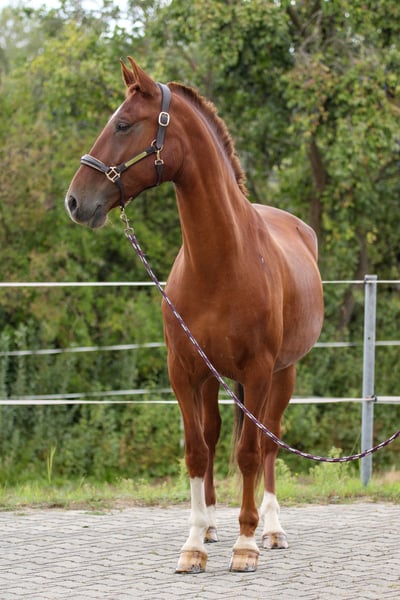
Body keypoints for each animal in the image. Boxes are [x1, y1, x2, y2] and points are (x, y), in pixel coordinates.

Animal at [65, 58, 324, 573]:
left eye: (123, 124)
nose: (75, 201)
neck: (222, 261)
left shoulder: (258, 371)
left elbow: (248, 453)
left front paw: (245, 545)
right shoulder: (184, 371)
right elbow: (196, 450)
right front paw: (194, 543)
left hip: (283, 374)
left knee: (268, 443)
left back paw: (270, 529)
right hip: (213, 379)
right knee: (216, 435)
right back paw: (210, 525)